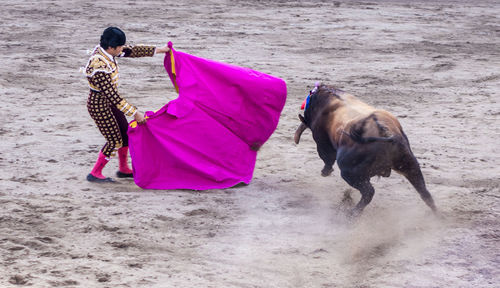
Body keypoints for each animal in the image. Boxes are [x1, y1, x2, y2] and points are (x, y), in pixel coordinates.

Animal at [294, 83, 436, 216]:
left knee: (369, 192)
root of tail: (385, 132)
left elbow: (326, 157)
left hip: (349, 173)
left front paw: (325, 172)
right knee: (425, 193)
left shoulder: (321, 140)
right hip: (410, 164)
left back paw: (352, 214)